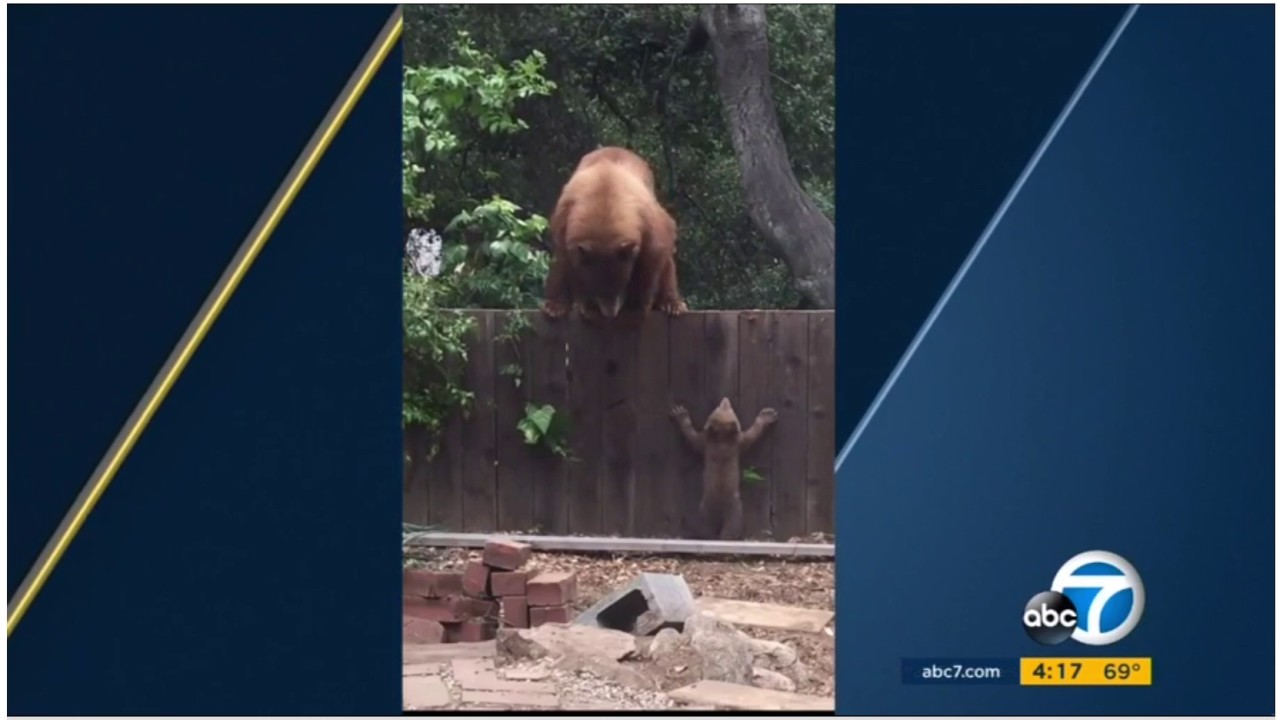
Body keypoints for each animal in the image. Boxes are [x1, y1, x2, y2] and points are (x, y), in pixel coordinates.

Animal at [541, 146, 687, 322]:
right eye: (597, 286)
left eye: (622, 283)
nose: (610, 313)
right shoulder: (566, 222)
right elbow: (567, 264)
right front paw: (584, 307)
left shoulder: (647, 223)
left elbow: (651, 259)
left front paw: (636, 305)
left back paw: (672, 304)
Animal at [670, 397, 777, 540]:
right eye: (719, 407)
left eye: (728, 408)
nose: (725, 399)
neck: (722, 439)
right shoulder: (728, 441)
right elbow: (753, 433)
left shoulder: (713, 442)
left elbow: (692, 437)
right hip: (725, 510)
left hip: (715, 512)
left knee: (713, 530)